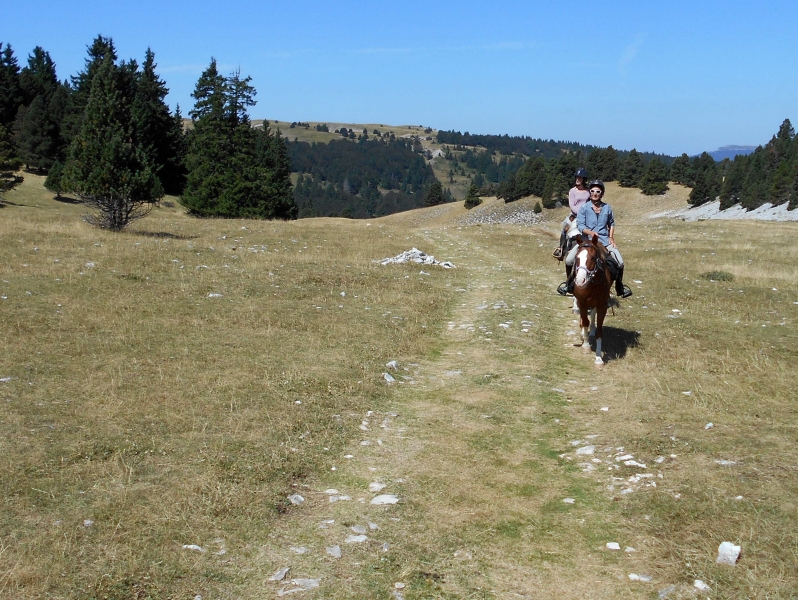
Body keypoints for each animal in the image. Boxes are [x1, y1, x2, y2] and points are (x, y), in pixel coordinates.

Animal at [576, 234, 612, 366]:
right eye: (577, 257)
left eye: (592, 257)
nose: (580, 281)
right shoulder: (582, 302)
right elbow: (585, 322)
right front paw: (586, 346)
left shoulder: (602, 305)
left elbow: (599, 331)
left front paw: (598, 358)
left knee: (592, 313)